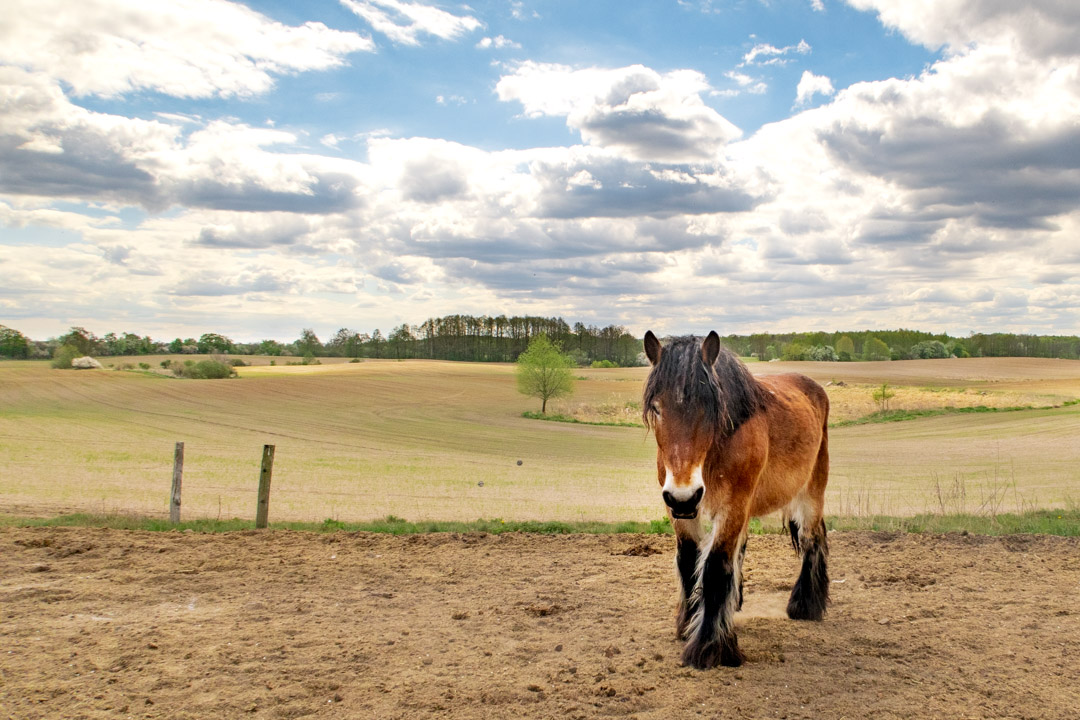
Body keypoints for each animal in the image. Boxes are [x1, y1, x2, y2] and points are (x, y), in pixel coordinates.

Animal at [643, 332, 829, 669]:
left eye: (709, 407)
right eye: (657, 407)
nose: (684, 497)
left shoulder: (733, 506)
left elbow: (716, 566)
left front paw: (709, 646)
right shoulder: (677, 509)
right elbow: (689, 560)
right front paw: (688, 623)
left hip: (811, 489)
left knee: (813, 538)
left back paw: (805, 605)